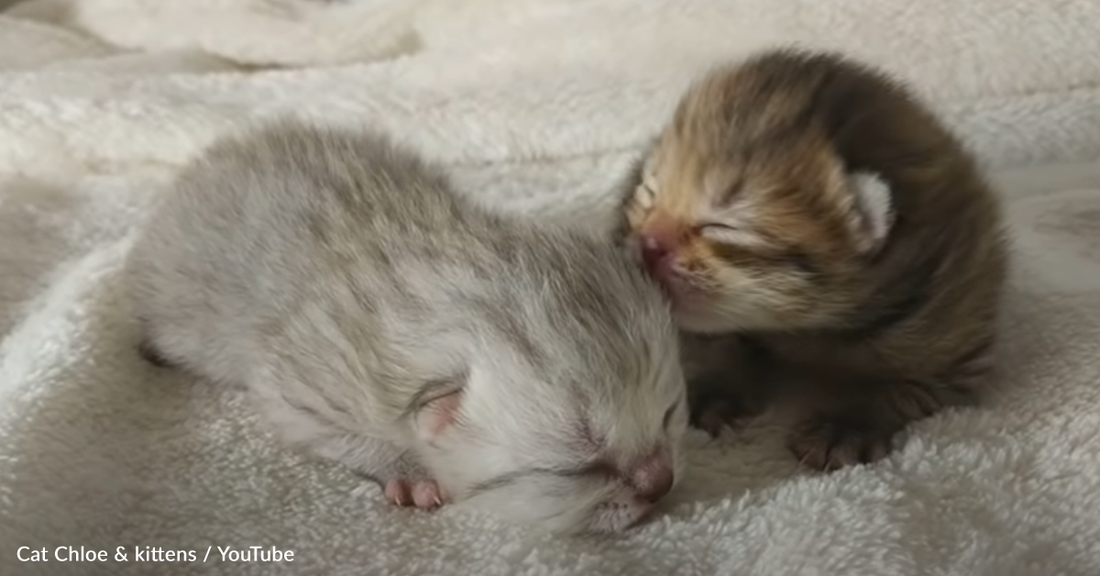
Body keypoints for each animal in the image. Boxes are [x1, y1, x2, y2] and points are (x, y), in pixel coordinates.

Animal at [620, 49, 1007, 470]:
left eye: (721, 225)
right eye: (649, 193)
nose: (647, 242)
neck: (806, 329)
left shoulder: (951, 330)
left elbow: (900, 386)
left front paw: (847, 426)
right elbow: (719, 342)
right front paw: (718, 387)